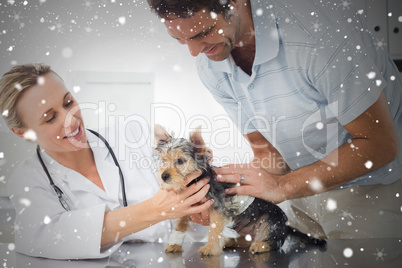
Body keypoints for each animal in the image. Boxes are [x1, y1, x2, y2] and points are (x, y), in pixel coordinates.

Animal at [154, 125, 326, 255]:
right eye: (163, 160)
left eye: (180, 161)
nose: (163, 176)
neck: (192, 182)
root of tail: (287, 226)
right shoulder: (189, 205)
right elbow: (181, 223)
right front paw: (174, 244)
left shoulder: (217, 208)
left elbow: (214, 230)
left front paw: (210, 248)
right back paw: (230, 242)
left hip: (271, 222)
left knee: (273, 242)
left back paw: (260, 245)